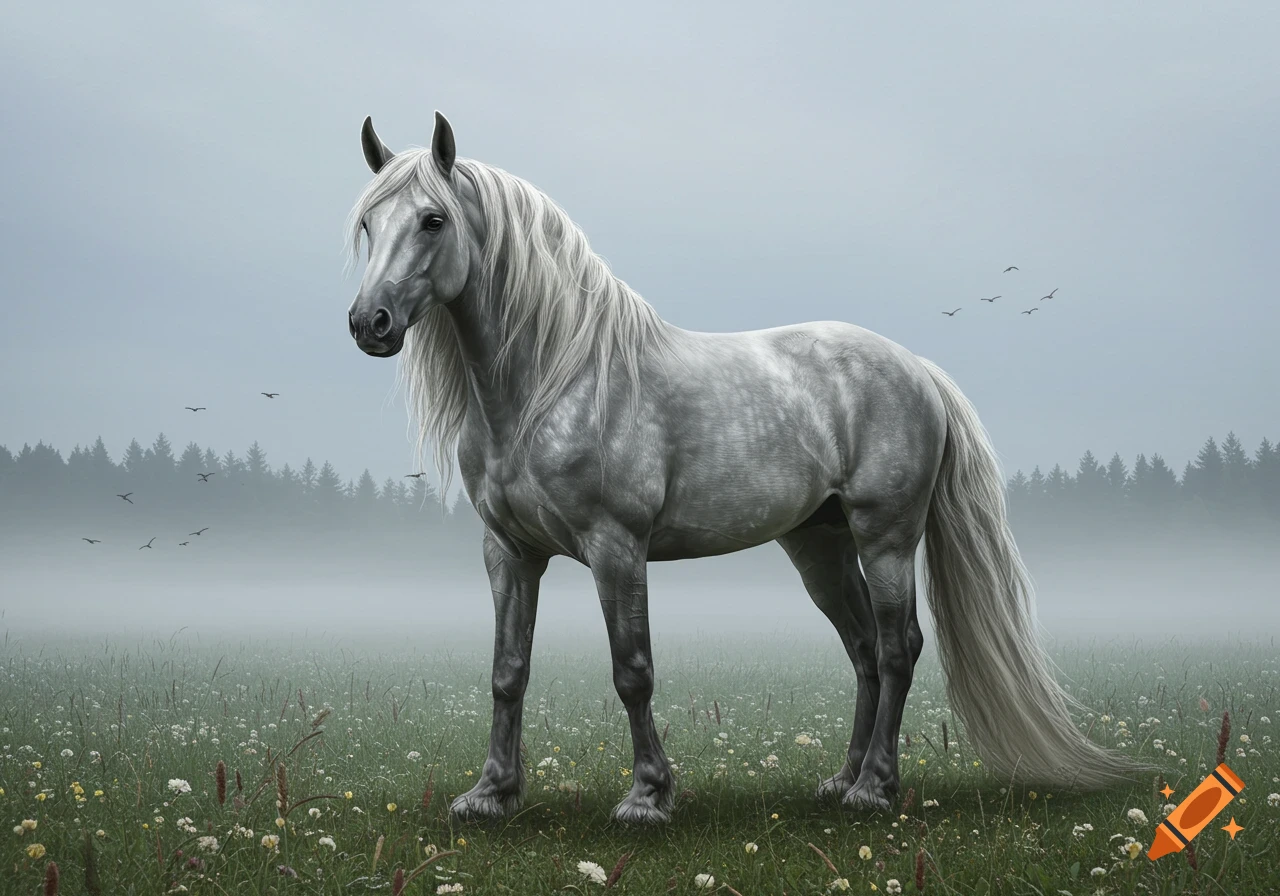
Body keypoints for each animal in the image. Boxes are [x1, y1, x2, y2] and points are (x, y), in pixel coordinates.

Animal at [345, 111, 1150, 824]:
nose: (368, 324)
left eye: (433, 221)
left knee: (898, 649)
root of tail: (916, 368)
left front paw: (648, 797)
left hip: (886, 538)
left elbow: (632, 670)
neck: (554, 379)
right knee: (863, 649)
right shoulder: (509, 552)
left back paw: (875, 788)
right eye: (368, 225)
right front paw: (491, 796)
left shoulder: (616, 548)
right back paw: (842, 779)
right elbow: (507, 671)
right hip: (820, 546)